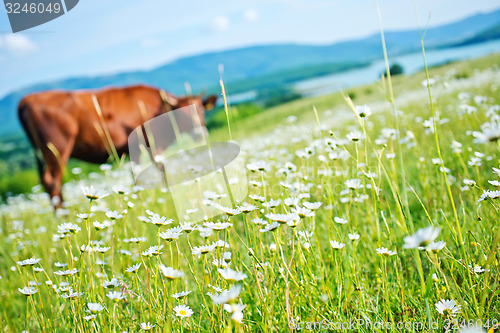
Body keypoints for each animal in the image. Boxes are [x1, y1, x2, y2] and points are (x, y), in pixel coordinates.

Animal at [18, 83, 218, 208]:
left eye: (201, 110)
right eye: (182, 113)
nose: (200, 134)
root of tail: (27, 99)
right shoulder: (149, 146)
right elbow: (158, 170)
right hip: (56, 149)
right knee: (53, 182)